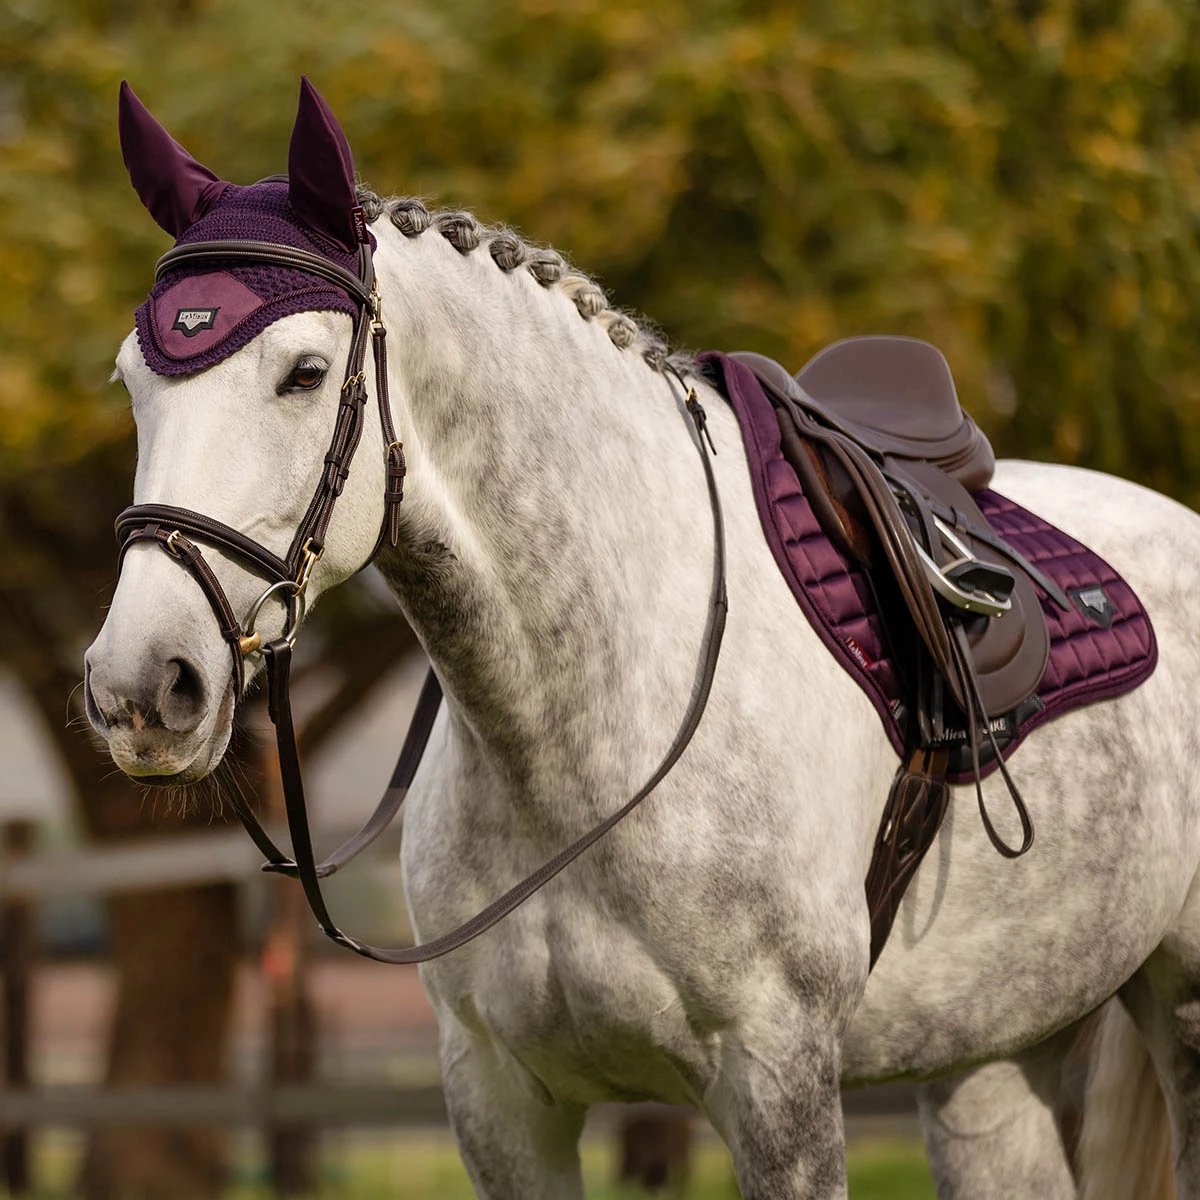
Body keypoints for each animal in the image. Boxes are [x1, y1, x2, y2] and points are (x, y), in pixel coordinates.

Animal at [83, 80, 1199, 1199]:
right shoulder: (501, 1104)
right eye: (132, 380)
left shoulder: (781, 1088)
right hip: (993, 1058)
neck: (586, 723)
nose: (142, 687)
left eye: (305, 373)